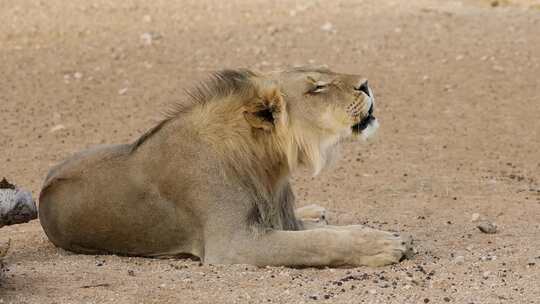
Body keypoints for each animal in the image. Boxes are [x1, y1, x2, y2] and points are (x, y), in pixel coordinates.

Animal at [39, 66, 414, 266]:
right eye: (316, 87)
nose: (366, 84)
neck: (268, 166)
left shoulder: (280, 220)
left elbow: (326, 232)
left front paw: (380, 235)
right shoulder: (234, 244)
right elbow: (317, 243)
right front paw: (382, 245)